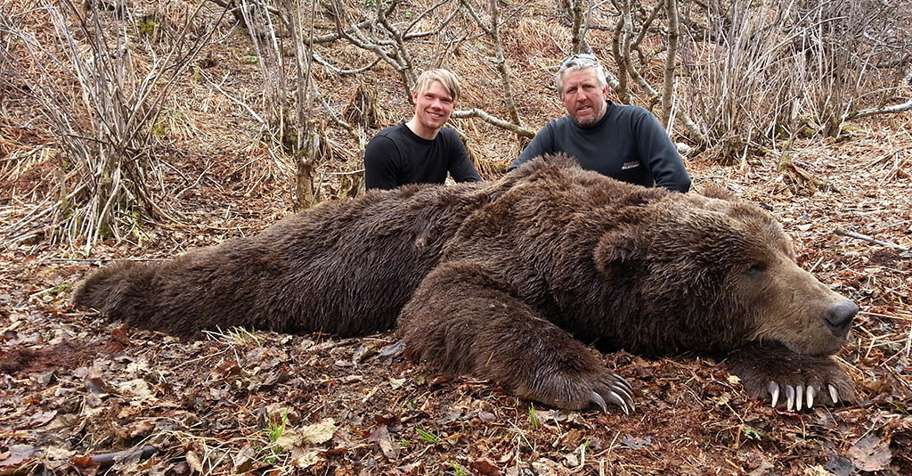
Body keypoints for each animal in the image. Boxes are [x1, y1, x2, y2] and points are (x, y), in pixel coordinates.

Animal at [73, 155, 859, 413]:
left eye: (785, 252)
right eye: (752, 268)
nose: (842, 311)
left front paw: (803, 378)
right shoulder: (500, 243)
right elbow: (450, 300)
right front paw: (592, 381)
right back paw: (101, 286)